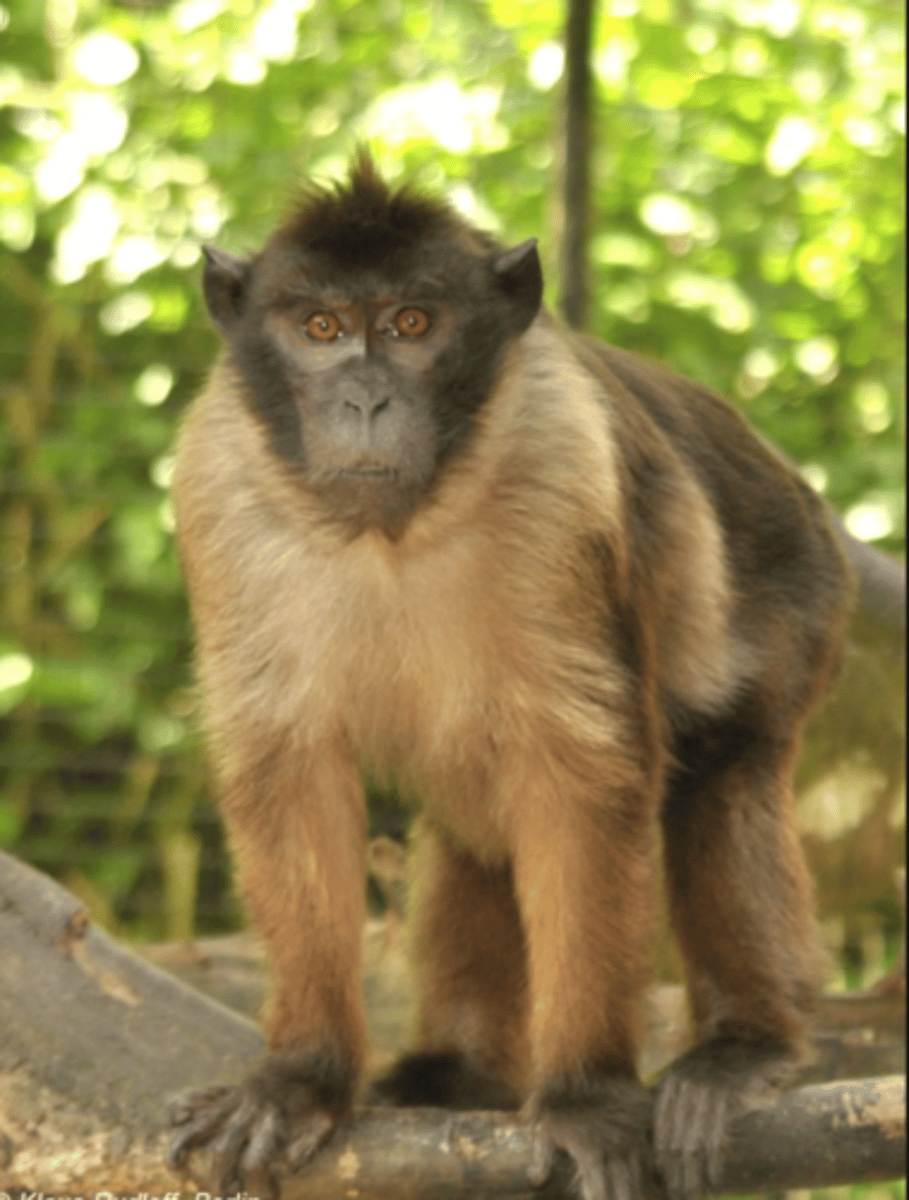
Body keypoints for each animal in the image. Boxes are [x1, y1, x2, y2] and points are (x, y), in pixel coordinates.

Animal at [167, 153, 853, 1200]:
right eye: (320, 329)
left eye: (411, 324)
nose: (363, 400)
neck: (396, 531)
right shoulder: (220, 483)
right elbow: (293, 778)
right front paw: (304, 1079)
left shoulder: (564, 469)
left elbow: (585, 784)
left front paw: (582, 1097)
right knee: (475, 829)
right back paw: (465, 1071)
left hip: (801, 578)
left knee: (720, 774)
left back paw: (745, 1050)